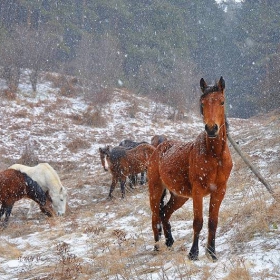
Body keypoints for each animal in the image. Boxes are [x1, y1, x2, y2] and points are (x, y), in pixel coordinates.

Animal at [148, 76, 233, 260]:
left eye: (222, 102)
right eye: (202, 103)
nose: (211, 129)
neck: (214, 155)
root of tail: (159, 147)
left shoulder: (219, 191)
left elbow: (213, 222)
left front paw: (212, 253)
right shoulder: (198, 191)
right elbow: (198, 222)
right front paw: (193, 253)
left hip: (179, 195)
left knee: (164, 212)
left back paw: (169, 241)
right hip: (155, 189)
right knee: (155, 217)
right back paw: (157, 247)